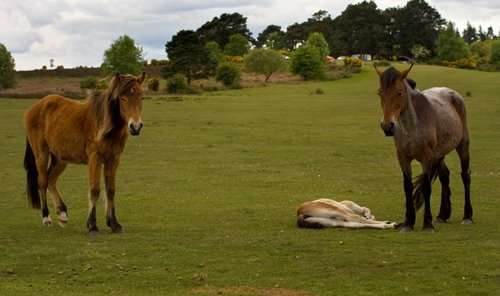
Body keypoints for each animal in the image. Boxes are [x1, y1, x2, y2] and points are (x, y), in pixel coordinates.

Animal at [23, 72, 145, 236]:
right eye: (122, 98)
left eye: (141, 97)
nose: (135, 126)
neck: (105, 126)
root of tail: (35, 107)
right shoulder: (95, 158)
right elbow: (94, 190)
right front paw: (92, 226)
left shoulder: (114, 159)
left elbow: (110, 190)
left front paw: (114, 223)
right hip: (41, 155)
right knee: (42, 182)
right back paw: (46, 218)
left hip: (60, 159)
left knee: (51, 181)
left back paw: (62, 214)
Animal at [376, 65, 472, 234]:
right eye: (380, 93)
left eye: (399, 92)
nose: (387, 126)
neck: (411, 127)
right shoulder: (402, 157)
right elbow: (407, 187)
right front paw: (408, 223)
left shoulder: (426, 157)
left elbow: (426, 187)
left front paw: (427, 224)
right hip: (439, 154)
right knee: (444, 176)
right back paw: (441, 215)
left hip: (462, 145)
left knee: (465, 175)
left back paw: (467, 216)